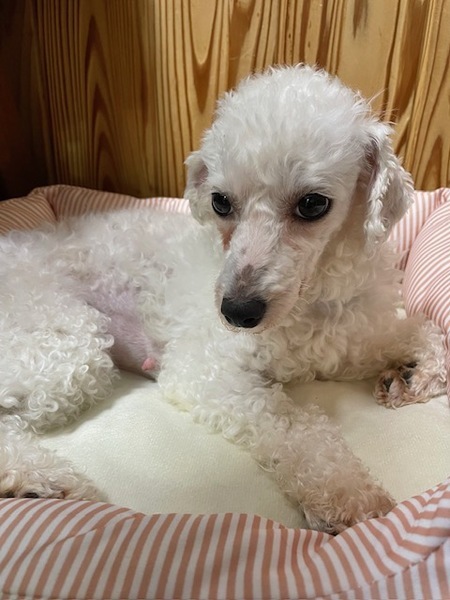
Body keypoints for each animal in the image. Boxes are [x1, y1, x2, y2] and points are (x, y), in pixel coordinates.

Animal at [0, 65, 446, 533]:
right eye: (220, 202)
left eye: (312, 204)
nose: (237, 313)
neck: (309, 301)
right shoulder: (204, 370)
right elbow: (291, 423)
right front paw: (345, 491)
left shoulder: (350, 340)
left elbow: (423, 329)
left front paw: (412, 372)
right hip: (66, 345)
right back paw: (36, 478)